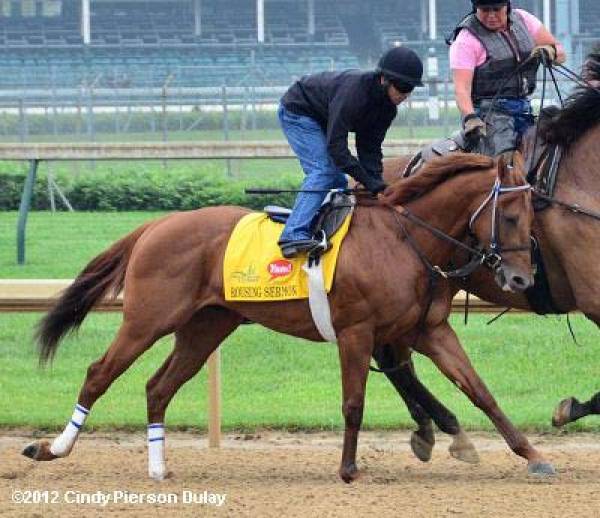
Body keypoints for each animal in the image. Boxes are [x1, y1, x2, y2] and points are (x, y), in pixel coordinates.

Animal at [22, 153, 548, 484]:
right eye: (512, 216)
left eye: (532, 216)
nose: (521, 278)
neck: (403, 239)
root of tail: (156, 225)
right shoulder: (356, 332)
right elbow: (353, 403)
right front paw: (348, 469)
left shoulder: (427, 330)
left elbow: (480, 390)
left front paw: (533, 455)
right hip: (147, 319)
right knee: (99, 373)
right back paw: (52, 448)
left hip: (206, 326)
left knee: (158, 386)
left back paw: (157, 468)